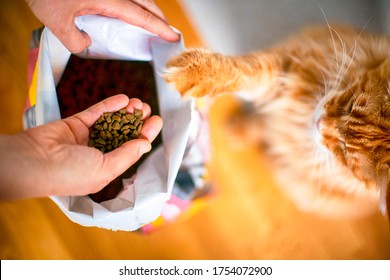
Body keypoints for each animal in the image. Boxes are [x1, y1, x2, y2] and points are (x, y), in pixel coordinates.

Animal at [164, 25, 390, 220]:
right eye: (349, 105)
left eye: (344, 152)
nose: (319, 123)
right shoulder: (285, 70)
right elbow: (241, 71)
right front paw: (195, 72)